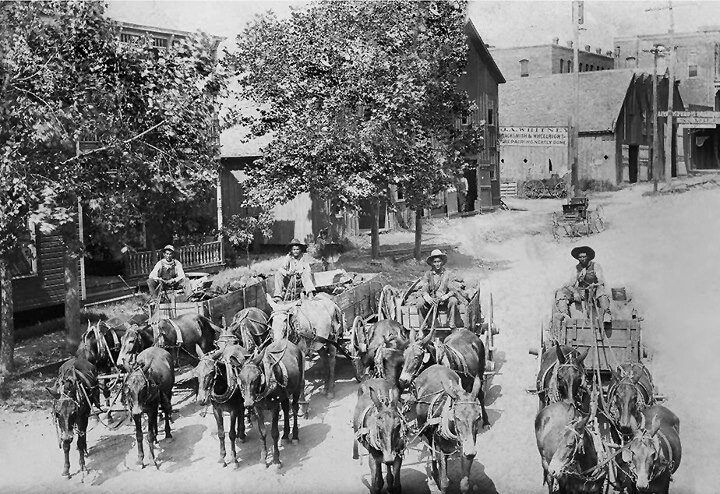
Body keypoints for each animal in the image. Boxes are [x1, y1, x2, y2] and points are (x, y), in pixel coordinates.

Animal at [238, 338, 302, 468]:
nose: (248, 403)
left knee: (294, 408)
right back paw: (285, 435)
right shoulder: (258, 408)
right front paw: (263, 459)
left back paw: (294, 436)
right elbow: (262, 433)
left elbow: (274, 433)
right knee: (286, 408)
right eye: (241, 378)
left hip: (297, 388)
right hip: (285, 394)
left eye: (257, 378)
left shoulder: (274, 407)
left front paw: (276, 460)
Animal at [414, 364, 486, 492]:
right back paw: (435, 473)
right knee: (432, 451)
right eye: (456, 417)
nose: (470, 452)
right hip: (427, 433)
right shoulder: (441, 449)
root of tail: (434, 365)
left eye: (478, 417)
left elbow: (464, 484)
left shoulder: (467, 448)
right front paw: (440, 480)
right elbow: (444, 482)